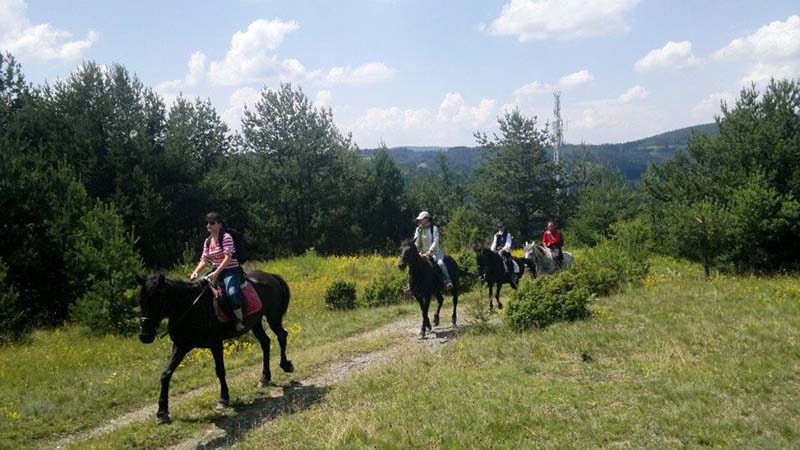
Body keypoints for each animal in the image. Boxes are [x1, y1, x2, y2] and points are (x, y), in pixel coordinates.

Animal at [137, 270, 294, 426]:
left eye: (158, 300)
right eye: (141, 302)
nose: (144, 336)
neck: (190, 308)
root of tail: (271, 276)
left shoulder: (215, 343)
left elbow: (220, 370)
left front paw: (223, 399)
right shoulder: (181, 346)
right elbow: (166, 374)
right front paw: (162, 413)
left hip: (273, 317)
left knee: (282, 336)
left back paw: (286, 365)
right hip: (255, 323)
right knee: (265, 343)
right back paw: (264, 378)